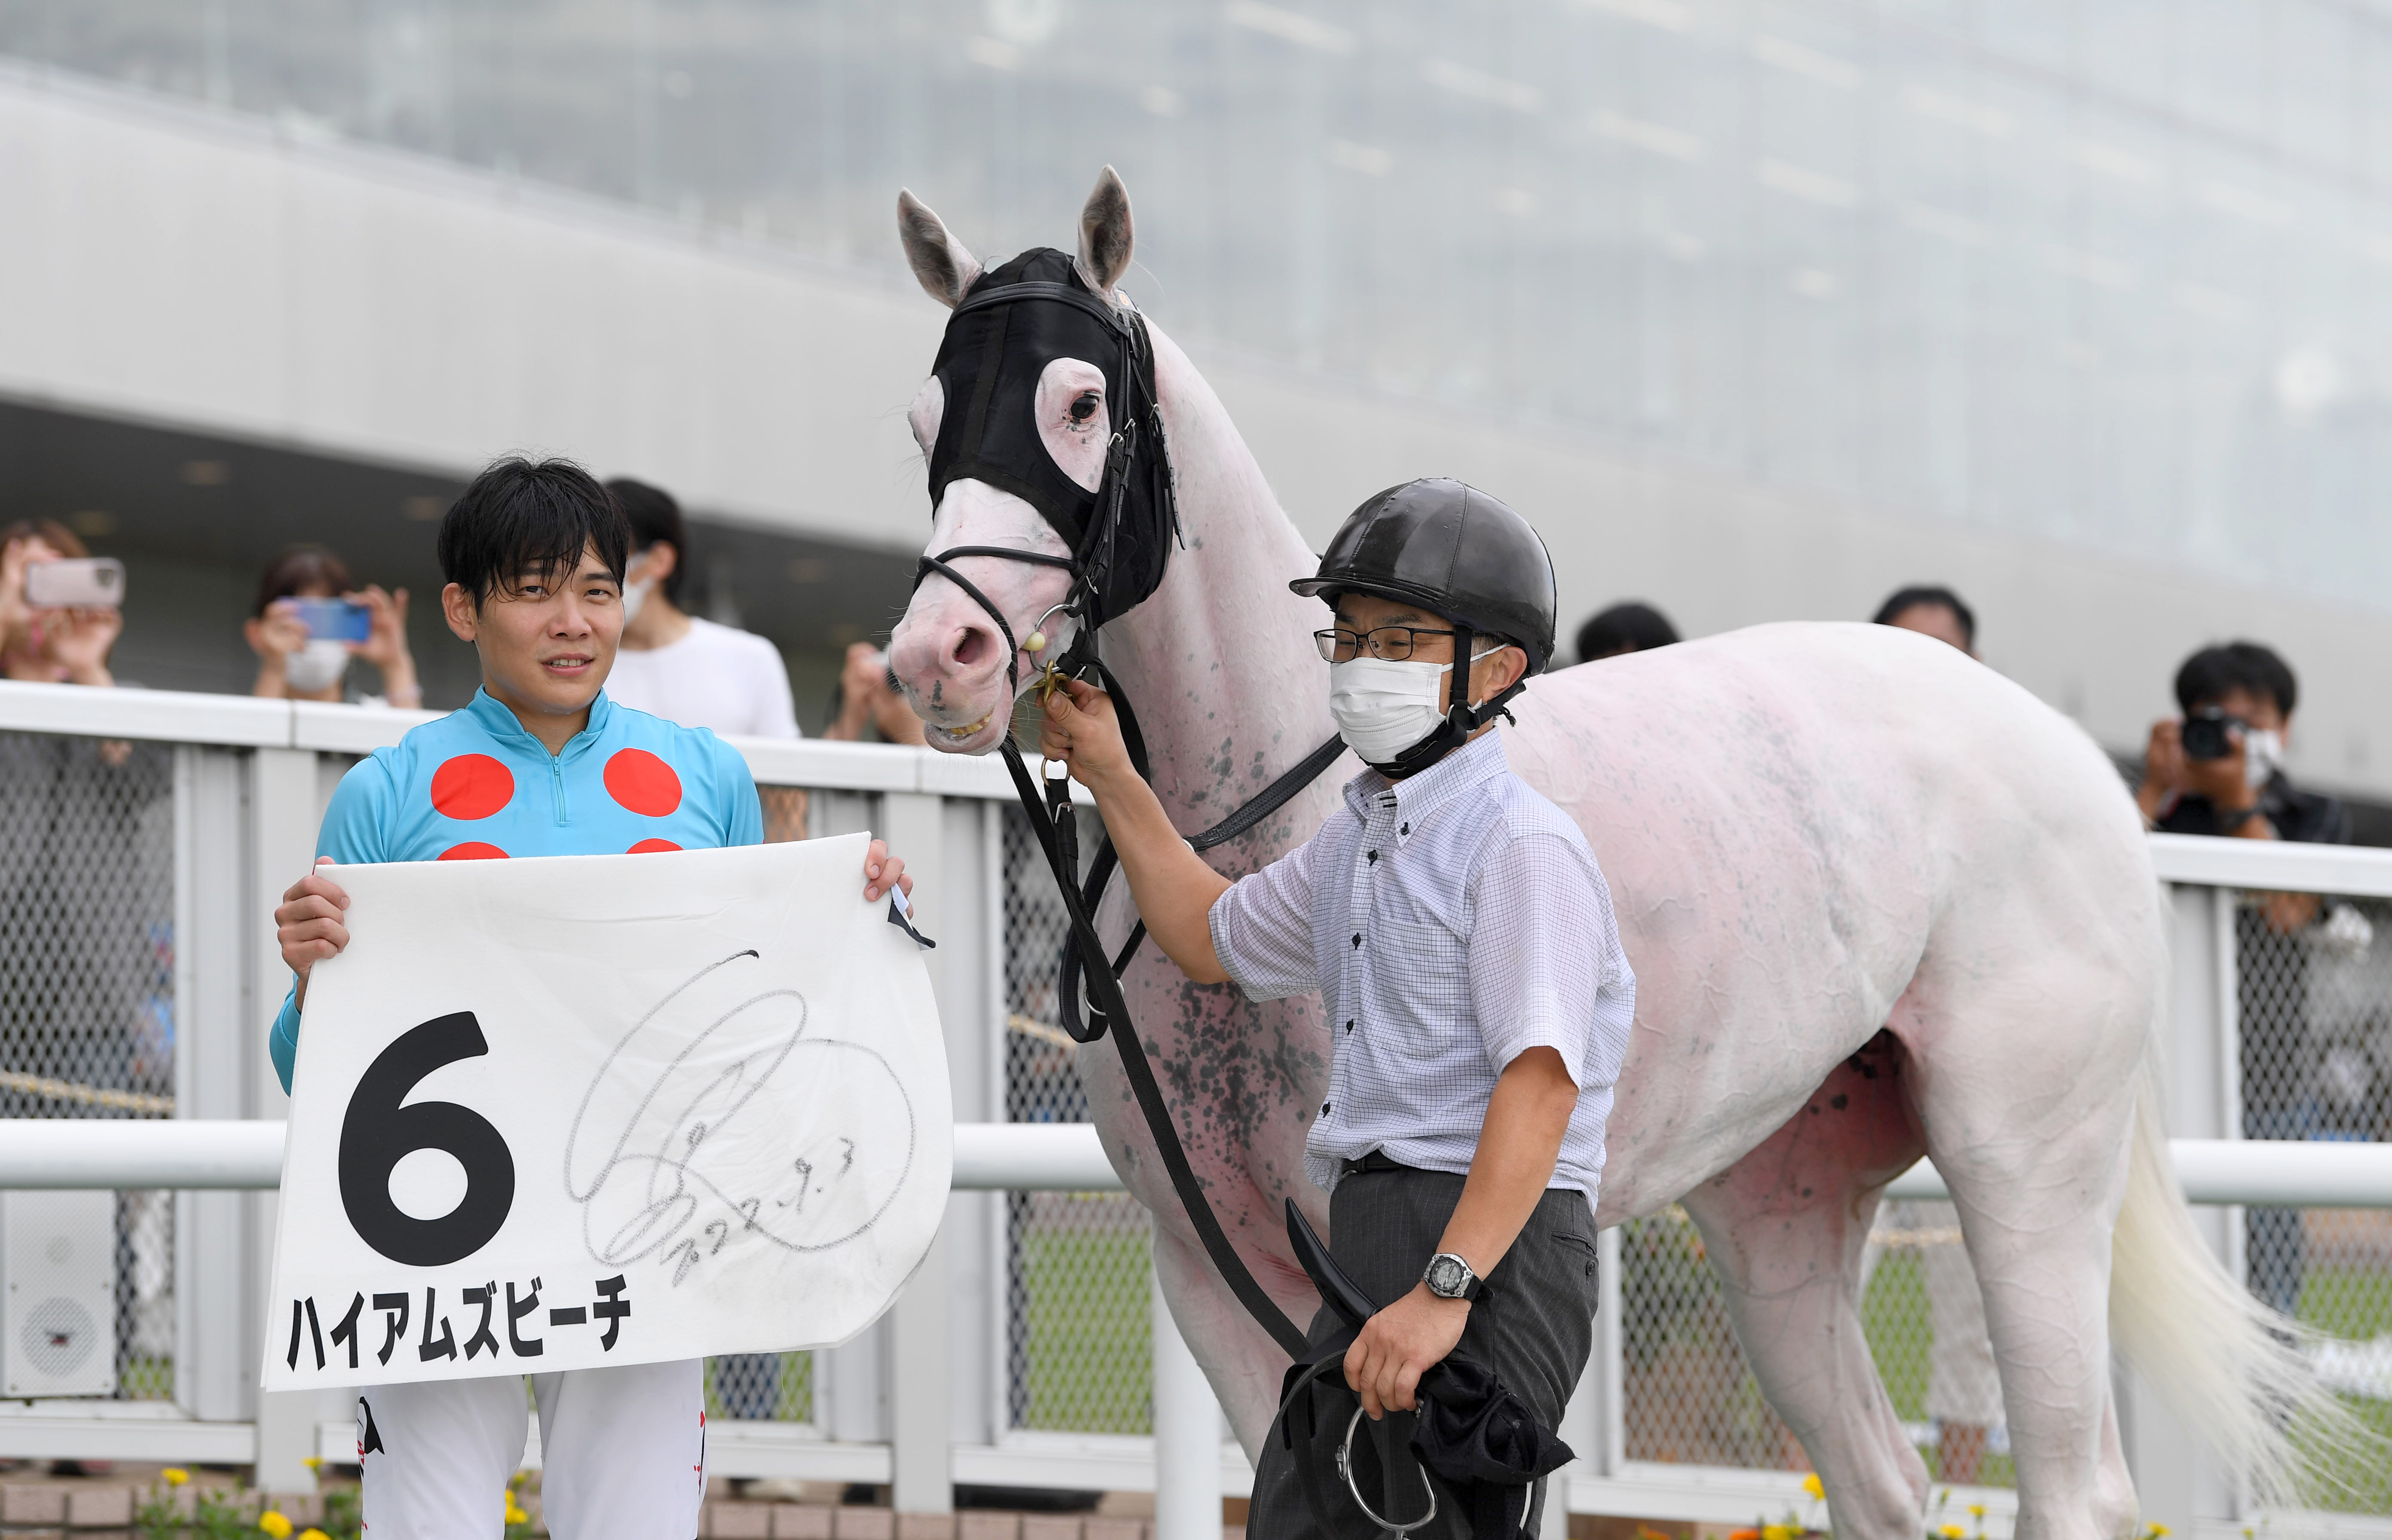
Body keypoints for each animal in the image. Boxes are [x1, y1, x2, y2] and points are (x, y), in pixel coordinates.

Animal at [880, 168, 2334, 1540]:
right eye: (924, 421)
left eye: (1078, 404)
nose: (937, 658)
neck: (1307, 802)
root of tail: (2067, 753)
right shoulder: (1217, 1282)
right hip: (1780, 1204)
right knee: (1876, 1481)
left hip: (2028, 1166)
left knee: (2074, 1485)